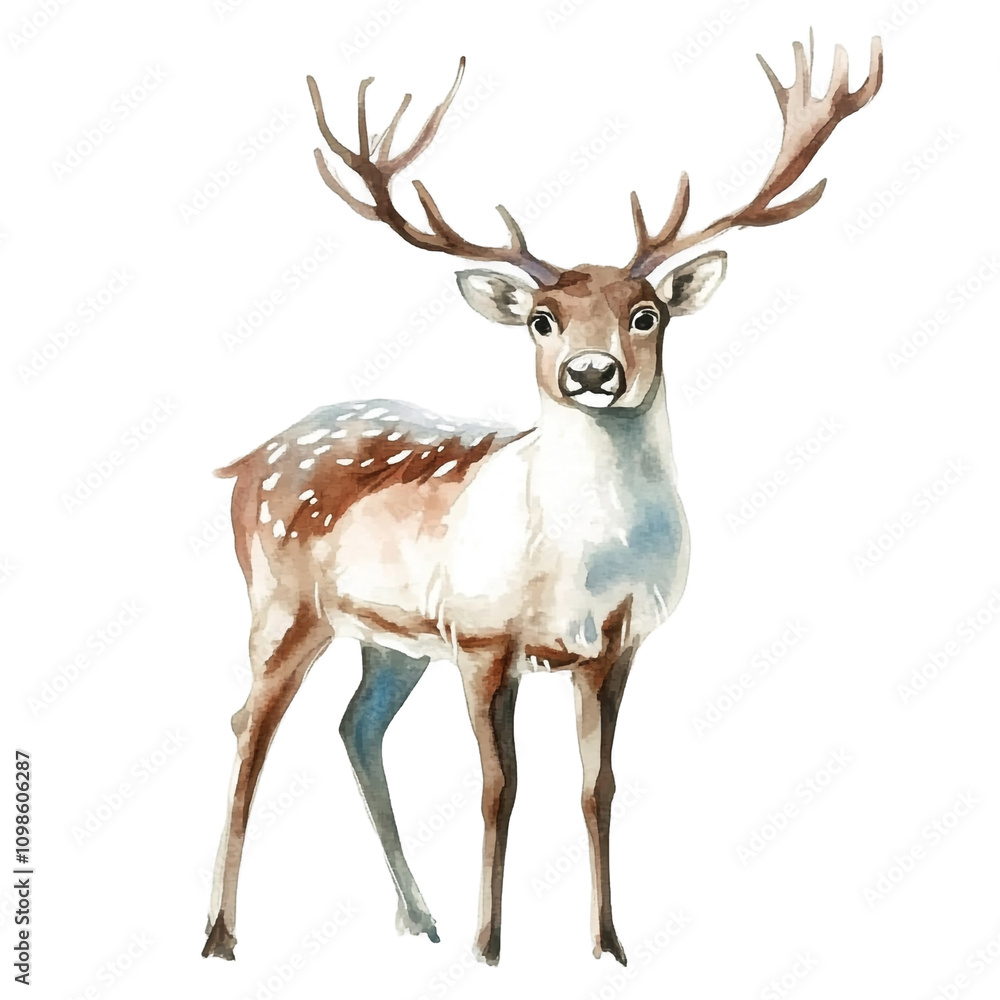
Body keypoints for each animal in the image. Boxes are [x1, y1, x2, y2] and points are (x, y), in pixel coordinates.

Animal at [203, 34, 882, 966]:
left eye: (646, 313)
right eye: (542, 319)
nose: (592, 374)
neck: (580, 569)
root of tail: (246, 461)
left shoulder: (614, 648)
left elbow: (598, 786)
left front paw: (608, 944)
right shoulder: (483, 638)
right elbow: (500, 787)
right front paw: (490, 947)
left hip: (390, 641)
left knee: (356, 727)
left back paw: (418, 918)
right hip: (282, 602)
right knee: (247, 725)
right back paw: (221, 934)